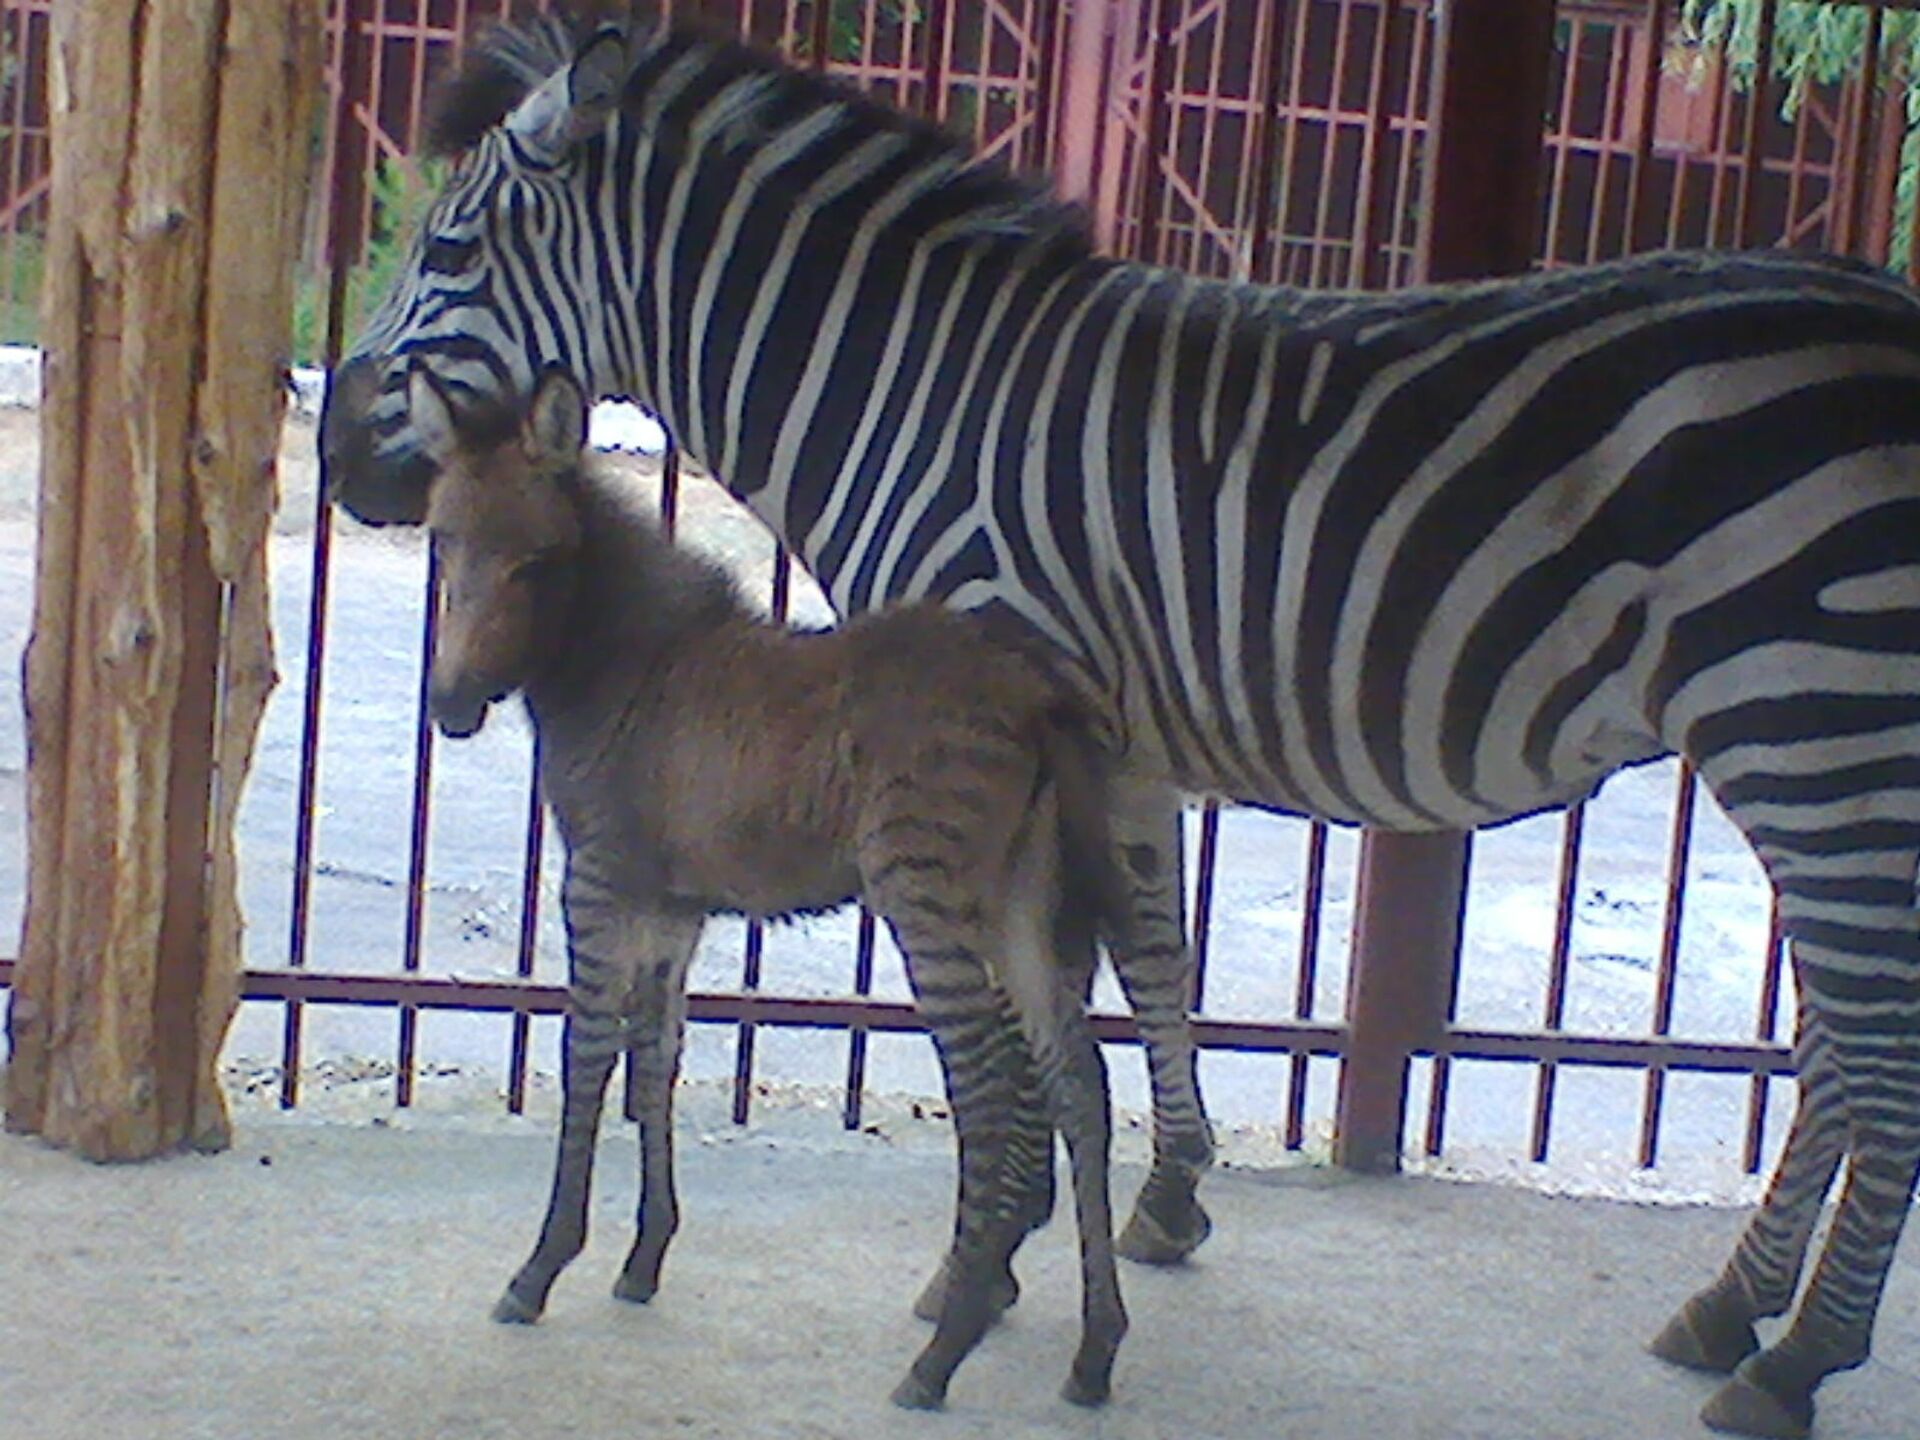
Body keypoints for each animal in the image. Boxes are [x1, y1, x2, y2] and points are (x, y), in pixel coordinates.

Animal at [405, 360, 1121, 1413]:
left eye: (538, 561)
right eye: (443, 542)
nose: (450, 708)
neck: (624, 669)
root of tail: (1036, 692)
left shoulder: (599, 882)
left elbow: (586, 1059)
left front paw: (540, 1269)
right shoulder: (672, 907)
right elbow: (653, 1060)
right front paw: (644, 1258)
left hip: (926, 896)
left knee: (991, 1091)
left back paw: (945, 1347)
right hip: (1020, 904)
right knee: (1080, 1085)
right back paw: (1095, 1351)